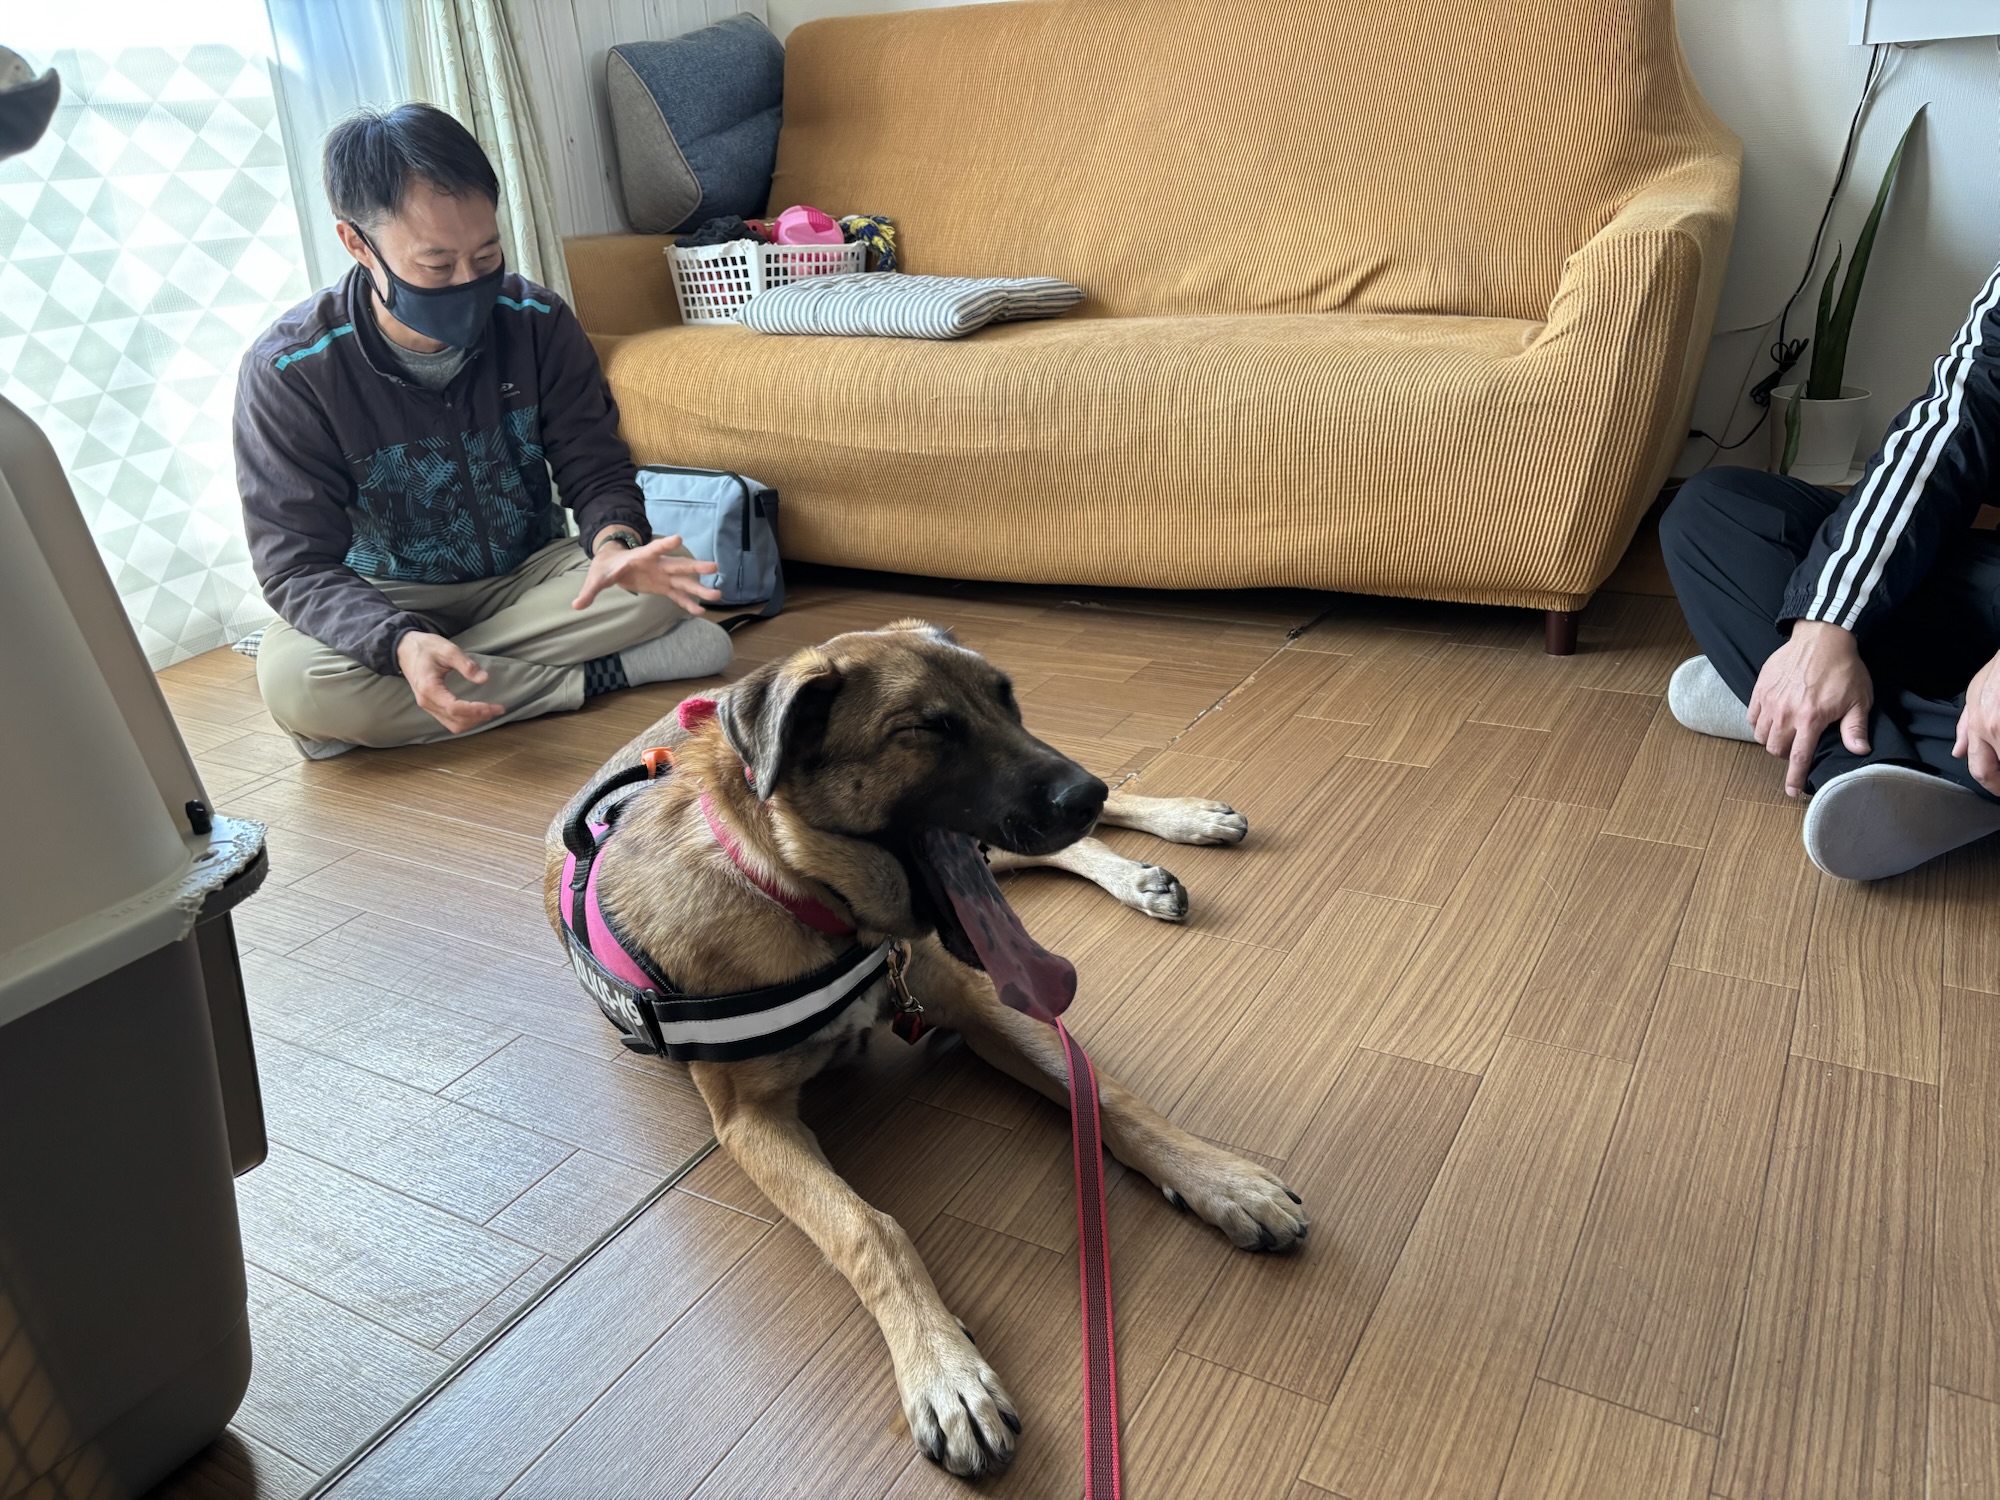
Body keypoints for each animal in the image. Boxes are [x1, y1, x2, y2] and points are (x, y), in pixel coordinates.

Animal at [542, 620, 1307, 1477]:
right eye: (927, 730)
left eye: (1008, 701)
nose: (1083, 795)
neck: (794, 890)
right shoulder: (753, 1124)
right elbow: (869, 1229)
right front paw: (943, 1369)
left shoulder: (979, 1003)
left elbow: (1109, 1097)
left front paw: (1219, 1180)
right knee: (1040, 855)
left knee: (1058, 846)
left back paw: (1178, 825)